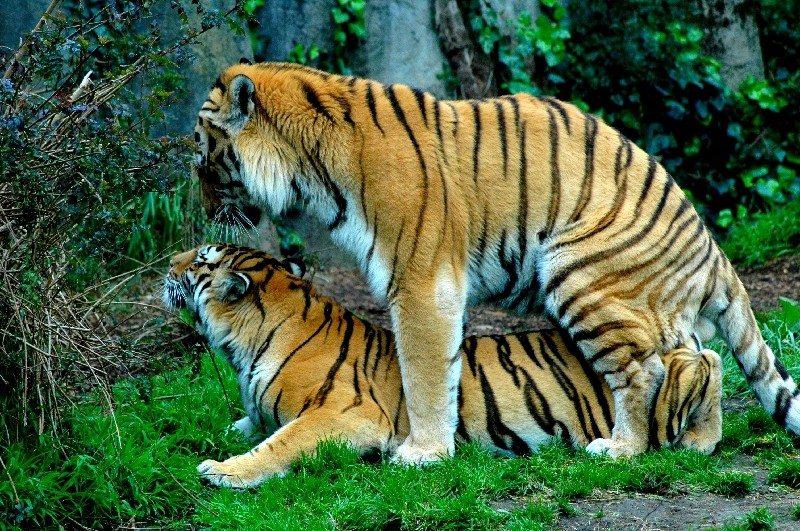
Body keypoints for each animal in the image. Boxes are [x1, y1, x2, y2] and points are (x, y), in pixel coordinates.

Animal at [163, 243, 723, 488]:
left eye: (200, 261)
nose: (168, 263)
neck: (242, 350)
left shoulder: (349, 413)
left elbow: (280, 442)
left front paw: (222, 470)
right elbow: (248, 426)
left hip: (661, 393)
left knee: (705, 361)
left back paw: (699, 439)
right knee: (708, 353)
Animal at [192, 60, 800, 462]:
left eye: (201, 156)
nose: (203, 211)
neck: (309, 166)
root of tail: (710, 245)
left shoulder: (420, 281)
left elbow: (423, 372)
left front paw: (423, 453)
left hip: (579, 272)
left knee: (644, 369)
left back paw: (620, 448)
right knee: (704, 358)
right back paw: (700, 441)